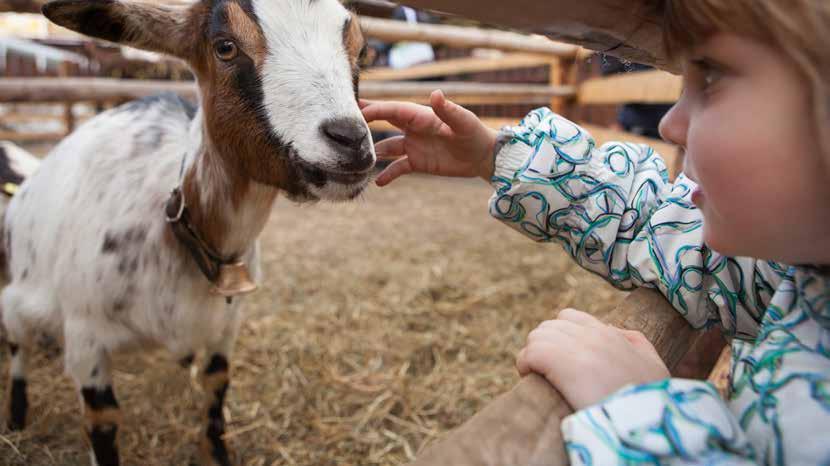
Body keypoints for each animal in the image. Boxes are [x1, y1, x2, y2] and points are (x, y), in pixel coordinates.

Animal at [0, 1, 376, 464]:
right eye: (225, 46)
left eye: (361, 51)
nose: (351, 140)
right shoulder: (86, 339)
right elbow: (103, 423)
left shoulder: (226, 325)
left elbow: (216, 387)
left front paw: (216, 450)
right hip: (21, 293)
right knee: (19, 344)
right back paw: (17, 416)